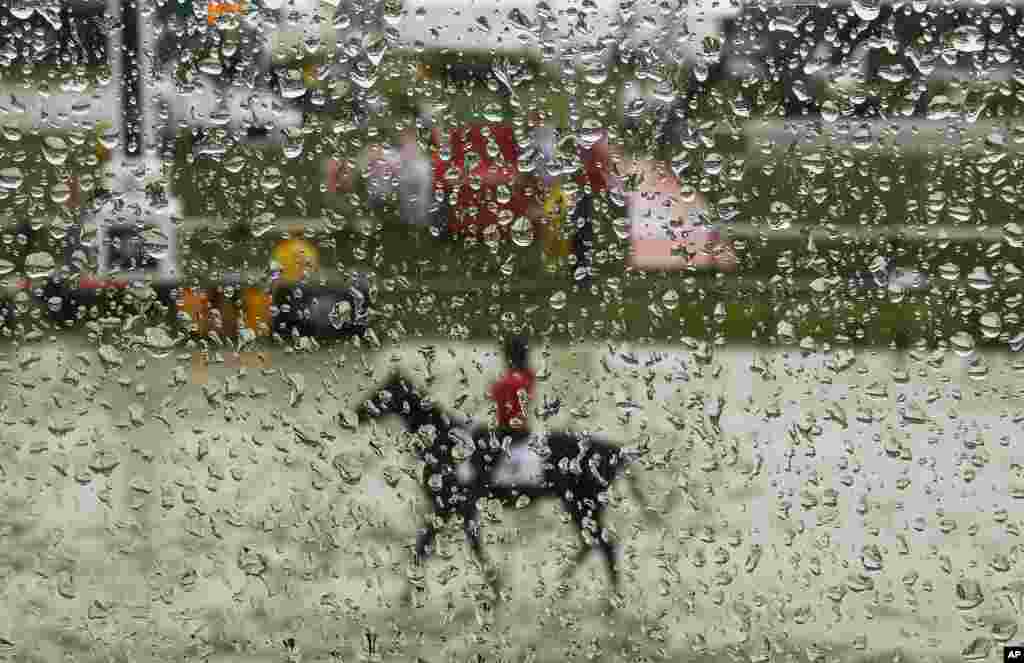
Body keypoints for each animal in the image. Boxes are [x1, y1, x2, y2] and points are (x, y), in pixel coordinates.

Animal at [339, 370, 651, 602]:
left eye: (382, 392)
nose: (352, 415)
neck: (446, 441)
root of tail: (615, 451)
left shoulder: (450, 506)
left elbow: (431, 545)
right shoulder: (459, 509)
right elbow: (453, 544)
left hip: (582, 503)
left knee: (605, 545)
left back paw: (606, 600)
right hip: (580, 505)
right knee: (593, 544)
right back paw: (562, 587)